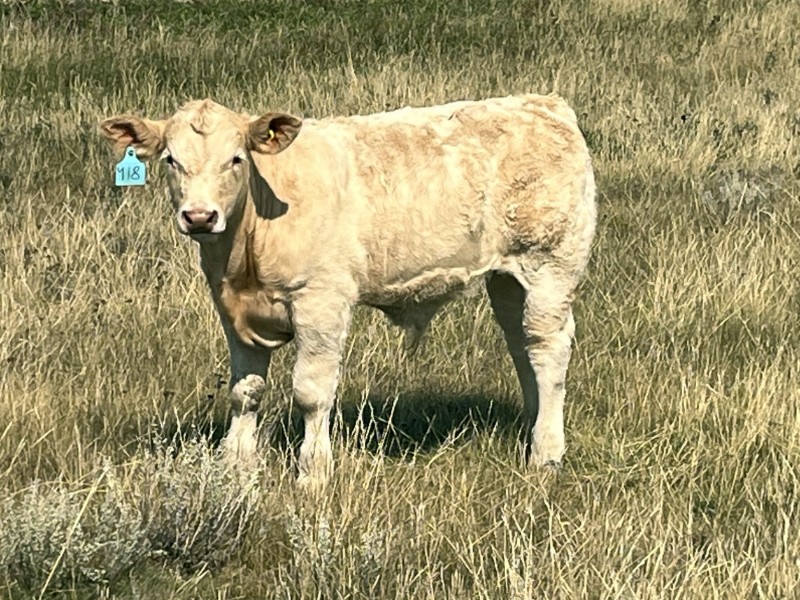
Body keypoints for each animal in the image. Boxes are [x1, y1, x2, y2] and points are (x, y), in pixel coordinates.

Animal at [100, 93, 596, 488]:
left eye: (236, 158)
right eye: (170, 160)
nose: (200, 216)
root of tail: (545, 104)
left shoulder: (320, 300)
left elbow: (311, 392)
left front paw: (312, 473)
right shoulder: (232, 311)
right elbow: (245, 390)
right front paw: (236, 467)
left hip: (551, 265)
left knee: (548, 351)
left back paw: (546, 453)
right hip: (507, 280)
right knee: (521, 348)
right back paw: (532, 430)